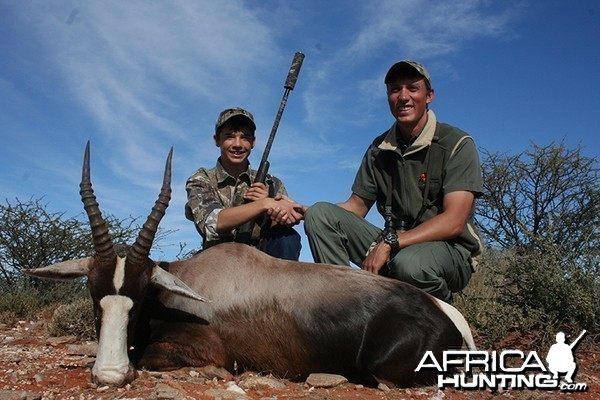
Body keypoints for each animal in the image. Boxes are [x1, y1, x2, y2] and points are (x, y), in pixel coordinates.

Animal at [23, 143, 476, 388]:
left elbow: (154, 356)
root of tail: (450, 320)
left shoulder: (203, 348)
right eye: (93, 291)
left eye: (141, 292)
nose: (110, 374)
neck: (191, 281)